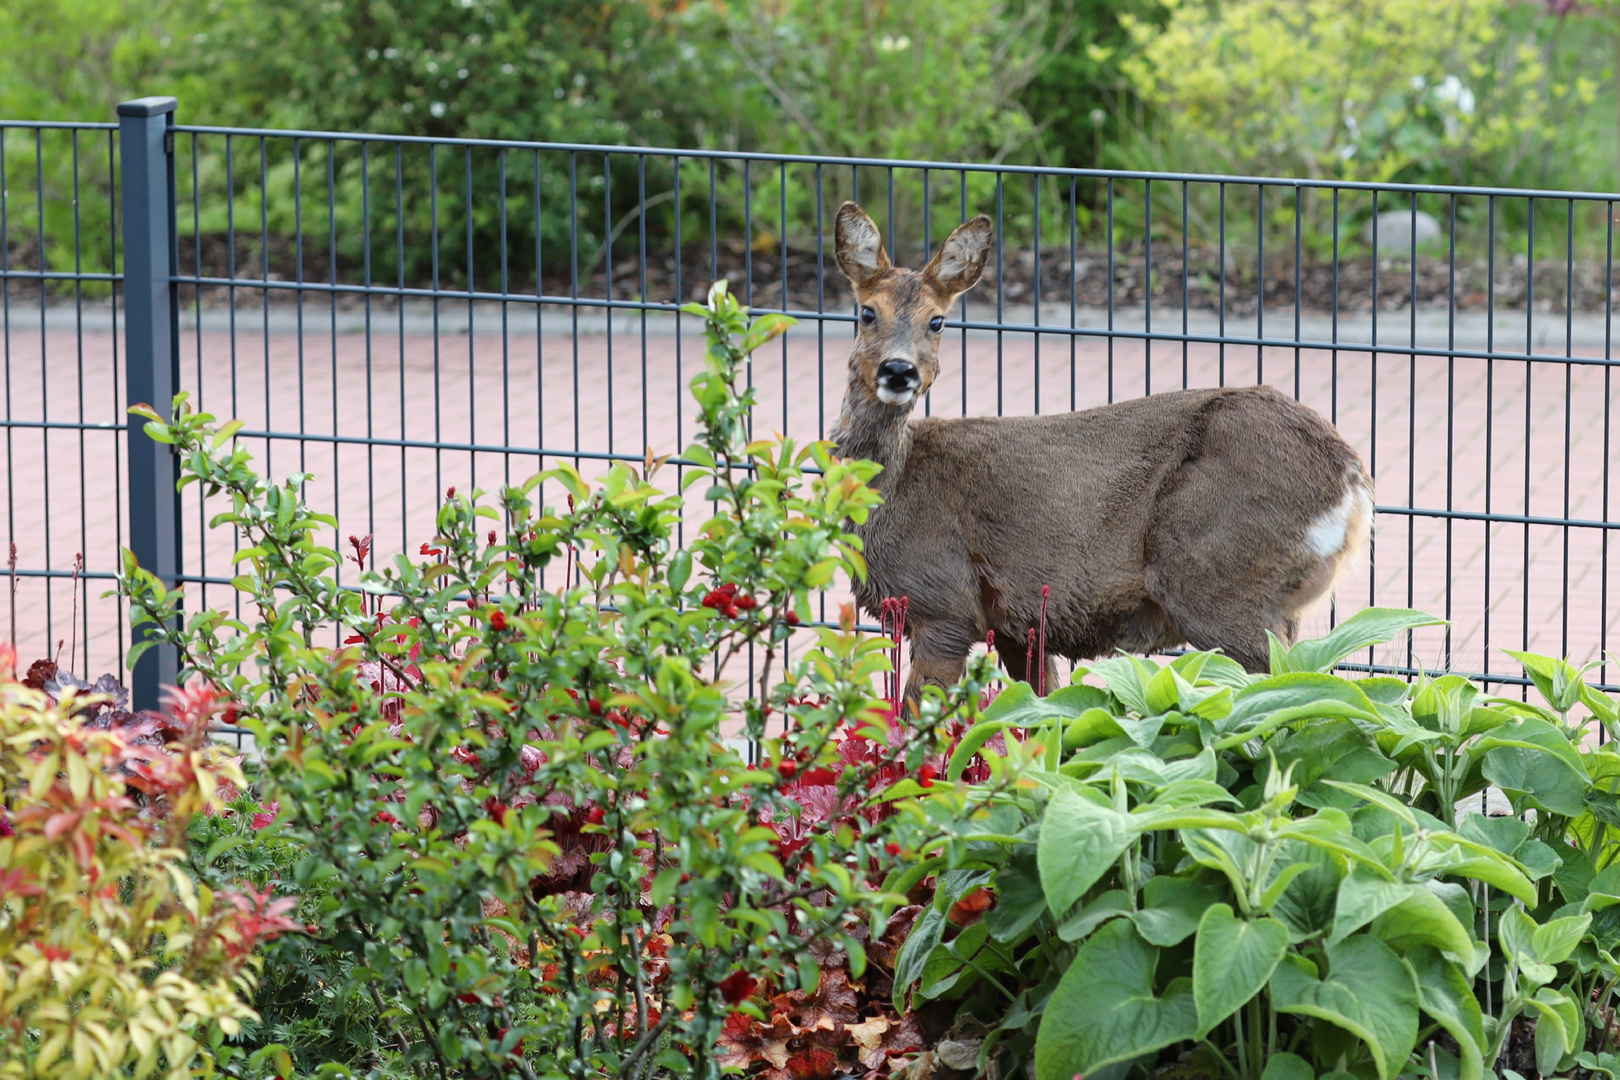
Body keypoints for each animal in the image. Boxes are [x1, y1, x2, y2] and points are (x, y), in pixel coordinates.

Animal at [829, 201, 1373, 702]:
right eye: (866, 312)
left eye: (938, 321)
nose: (898, 371)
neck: (893, 485)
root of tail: (1353, 482)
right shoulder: (1016, 623)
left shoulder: (943, 599)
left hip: (1216, 579)